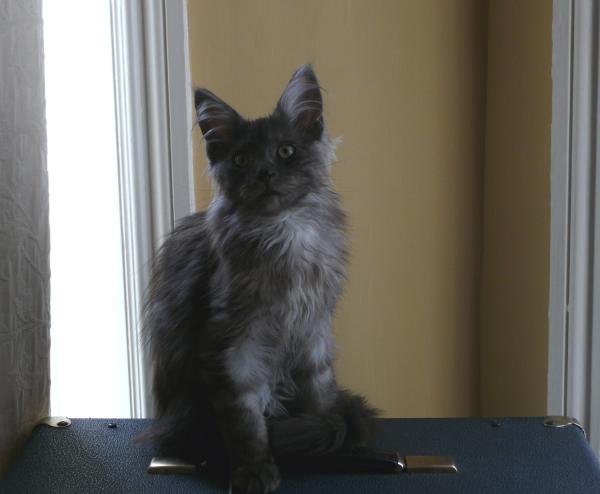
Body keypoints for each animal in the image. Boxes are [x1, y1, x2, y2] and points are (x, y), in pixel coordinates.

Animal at [144, 66, 378, 494]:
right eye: (240, 158)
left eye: (286, 151)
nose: (264, 173)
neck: (283, 232)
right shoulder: (233, 343)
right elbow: (244, 419)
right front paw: (254, 469)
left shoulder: (314, 331)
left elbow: (322, 396)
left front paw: (329, 437)